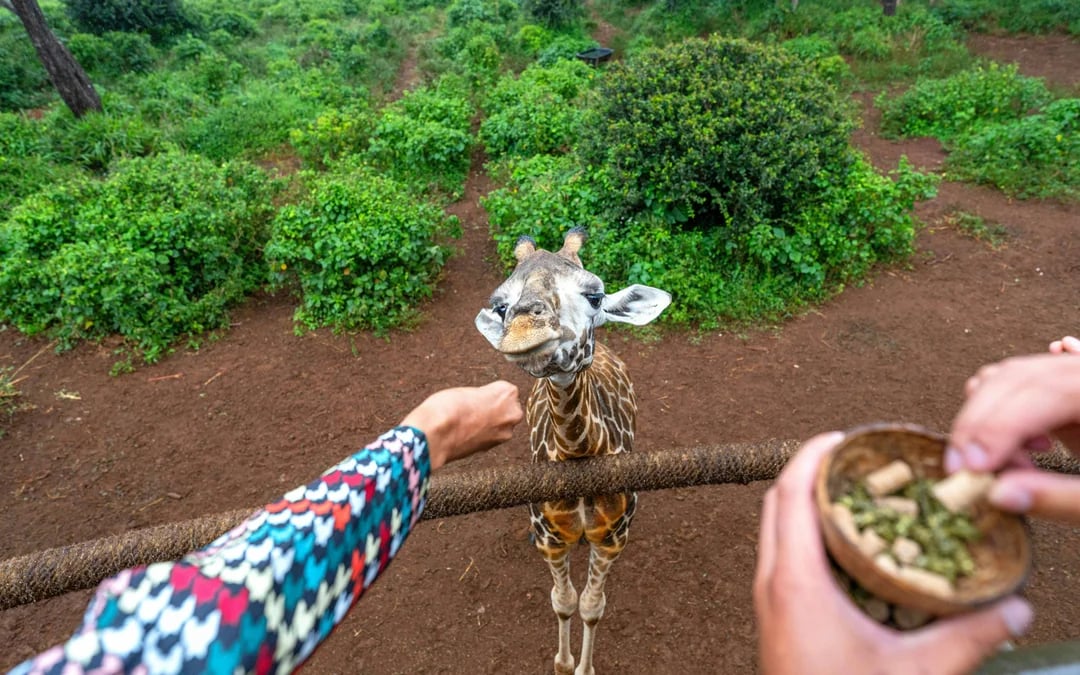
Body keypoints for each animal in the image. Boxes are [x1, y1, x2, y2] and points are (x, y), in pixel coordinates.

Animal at [474, 228, 671, 675]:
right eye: (501, 305)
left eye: (595, 296)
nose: (525, 329)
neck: (576, 455)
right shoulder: (552, 540)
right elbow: (563, 602)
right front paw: (564, 664)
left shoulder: (611, 539)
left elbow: (592, 606)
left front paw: (585, 667)